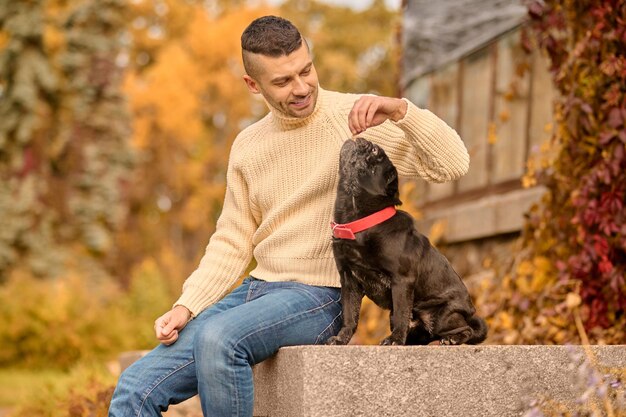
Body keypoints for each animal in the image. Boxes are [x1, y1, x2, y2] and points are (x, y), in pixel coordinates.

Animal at [326, 138, 488, 346]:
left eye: (375, 152)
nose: (366, 141)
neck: (361, 224)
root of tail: (469, 312)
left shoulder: (402, 280)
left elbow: (401, 314)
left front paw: (395, 339)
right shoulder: (349, 281)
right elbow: (350, 316)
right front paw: (341, 339)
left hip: (441, 317)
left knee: (466, 330)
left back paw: (452, 339)